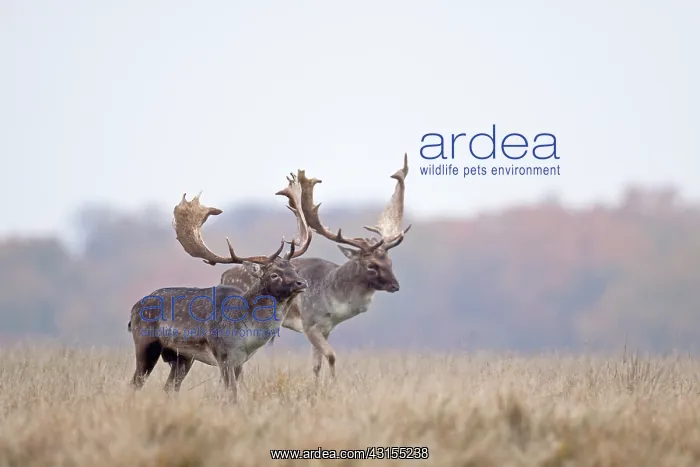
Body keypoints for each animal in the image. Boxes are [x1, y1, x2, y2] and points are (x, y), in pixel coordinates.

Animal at [127, 173, 311, 400]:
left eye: (293, 268)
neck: (248, 336)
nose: (301, 283)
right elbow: (231, 392)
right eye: (274, 274)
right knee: (135, 383)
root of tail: (134, 308)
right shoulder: (223, 354)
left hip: (182, 357)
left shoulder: (240, 361)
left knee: (169, 387)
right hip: (146, 343)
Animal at [221, 154, 411, 381]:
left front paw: (318, 385)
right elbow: (331, 356)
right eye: (371, 265)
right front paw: (333, 383)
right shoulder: (309, 323)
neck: (335, 301)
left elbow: (316, 364)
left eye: (390, 262)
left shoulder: (326, 327)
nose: (395, 285)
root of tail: (224, 275)